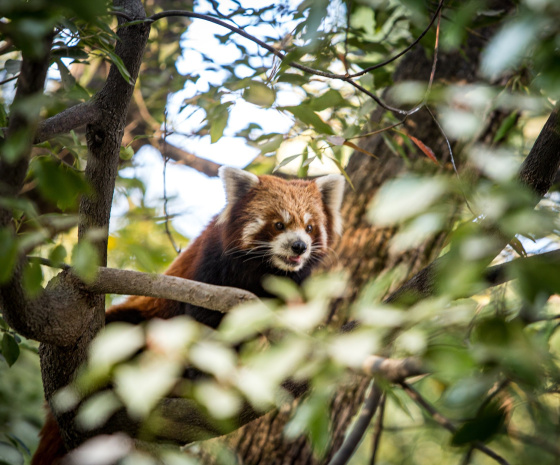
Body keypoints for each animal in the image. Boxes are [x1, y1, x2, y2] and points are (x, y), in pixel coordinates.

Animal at [31, 168, 346, 464]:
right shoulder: (212, 269)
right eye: (279, 224)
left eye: (310, 227)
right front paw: (206, 379)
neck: (264, 270)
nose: (299, 246)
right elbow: (203, 323)